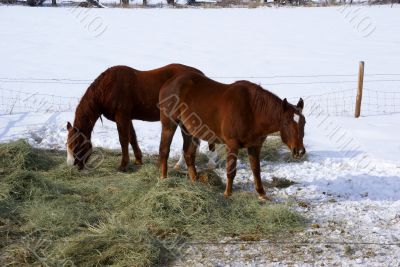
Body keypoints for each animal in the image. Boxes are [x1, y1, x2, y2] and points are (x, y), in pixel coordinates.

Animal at [66, 63, 205, 171]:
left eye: (76, 145)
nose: (72, 165)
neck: (108, 88)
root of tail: (200, 75)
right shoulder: (127, 118)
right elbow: (132, 138)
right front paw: (138, 160)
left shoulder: (121, 117)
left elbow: (123, 140)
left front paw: (123, 166)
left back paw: (180, 164)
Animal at [159, 72, 306, 200]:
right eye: (286, 123)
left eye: (304, 122)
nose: (299, 151)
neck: (252, 110)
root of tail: (170, 82)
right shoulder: (232, 144)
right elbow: (231, 171)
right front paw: (227, 194)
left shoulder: (255, 146)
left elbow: (256, 170)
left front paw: (262, 194)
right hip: (169, 125)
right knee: (164, 150)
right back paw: (163, 179)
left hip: (188, 130)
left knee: (189, 154)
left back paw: (195, 181)